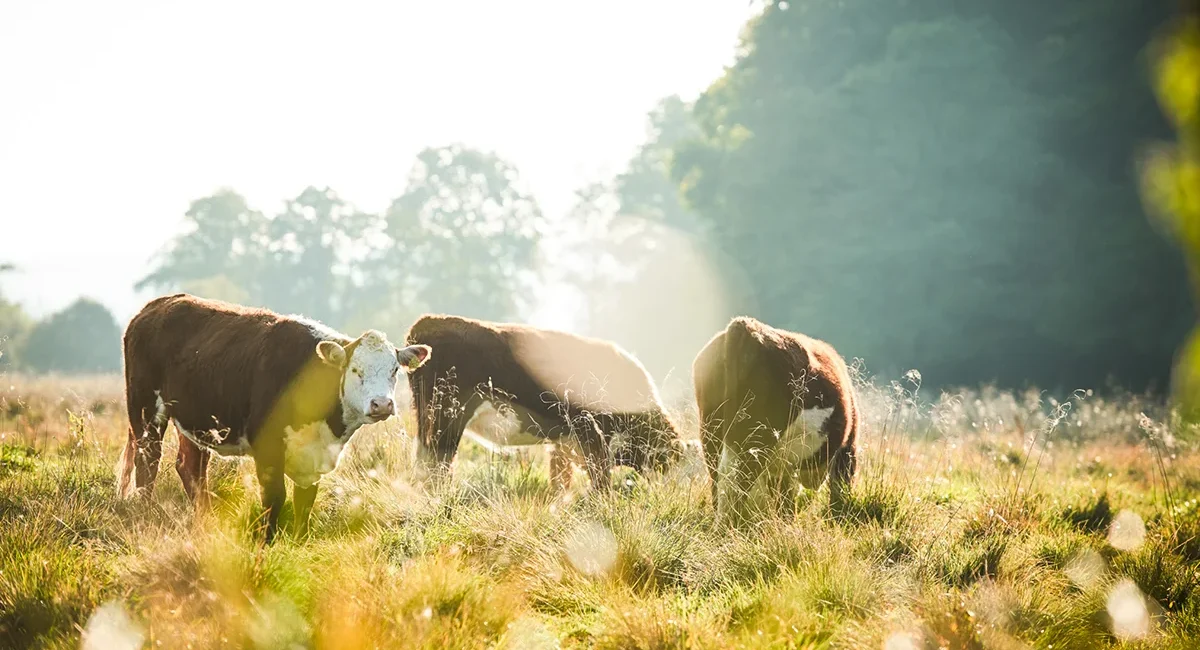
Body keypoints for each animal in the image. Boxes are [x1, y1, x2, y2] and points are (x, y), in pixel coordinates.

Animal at [115, 293, 432, 542]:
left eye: (394, 370)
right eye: (356, 370)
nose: (382, 404)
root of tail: (157, 305)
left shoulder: (312, 456)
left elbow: (305, 501)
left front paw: (299, 543)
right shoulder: (267, 447)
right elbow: (275, 497)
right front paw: (264, 544)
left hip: (195, 421)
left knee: (190, 468)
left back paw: (205, 523)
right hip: (145, 411)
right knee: (148, 463)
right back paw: (146, 514)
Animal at [404, 314, 683, 491]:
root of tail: (429, 320)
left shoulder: (564, 442)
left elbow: (560, 481)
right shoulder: (589, 432)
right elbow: (600, 479)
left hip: (426, 417)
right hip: (447, 416)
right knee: (438, 465)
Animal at [693, 316, 859, 527]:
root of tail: (746, 326)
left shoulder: (782, 467)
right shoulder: (847, 447)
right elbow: (839, 492)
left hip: (711, 432)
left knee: (719, 479)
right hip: (756, 438)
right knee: (736, 482)